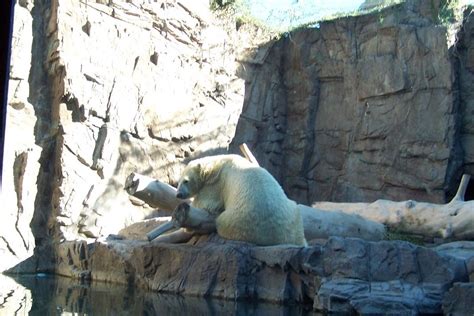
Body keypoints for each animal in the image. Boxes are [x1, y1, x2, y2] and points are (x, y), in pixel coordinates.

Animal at [176, 154, 306, 246]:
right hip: (293, 216)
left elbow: (206, 203)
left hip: (238, 219)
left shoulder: (216, 183)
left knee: (221, 221)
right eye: (178, 182)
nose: (178, 194)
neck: (217, 164)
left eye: (186, 181)